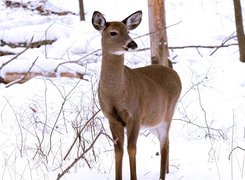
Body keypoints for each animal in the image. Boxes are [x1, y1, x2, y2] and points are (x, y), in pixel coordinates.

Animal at [92, 10, 182, 180]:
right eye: (113, 32)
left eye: (128, 31)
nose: (132, 44)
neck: (115, 94)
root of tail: (175, 73)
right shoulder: (111, 118)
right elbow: (118, 150)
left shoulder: (135, 114)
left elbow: (132, 149)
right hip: (153, 121)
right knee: (166, 142)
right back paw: (167, 171)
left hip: (167, 114)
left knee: (164, 144)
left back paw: (162, 176)